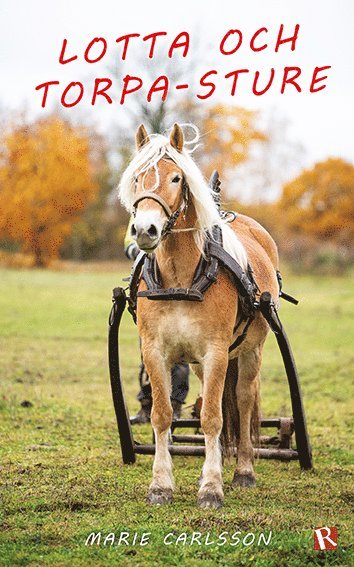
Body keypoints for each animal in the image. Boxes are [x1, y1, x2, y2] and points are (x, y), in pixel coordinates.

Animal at [119, 124, 280, 510]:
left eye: (176, 178)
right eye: (137, 177)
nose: (145, 230)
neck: (182, 278)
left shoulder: (216, 351)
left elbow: (212, 418)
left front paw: (211, 487)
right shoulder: (156, 351)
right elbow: (163, 414)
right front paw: (161, 485)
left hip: (250, 351)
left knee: (242, 399)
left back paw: (243, 470)